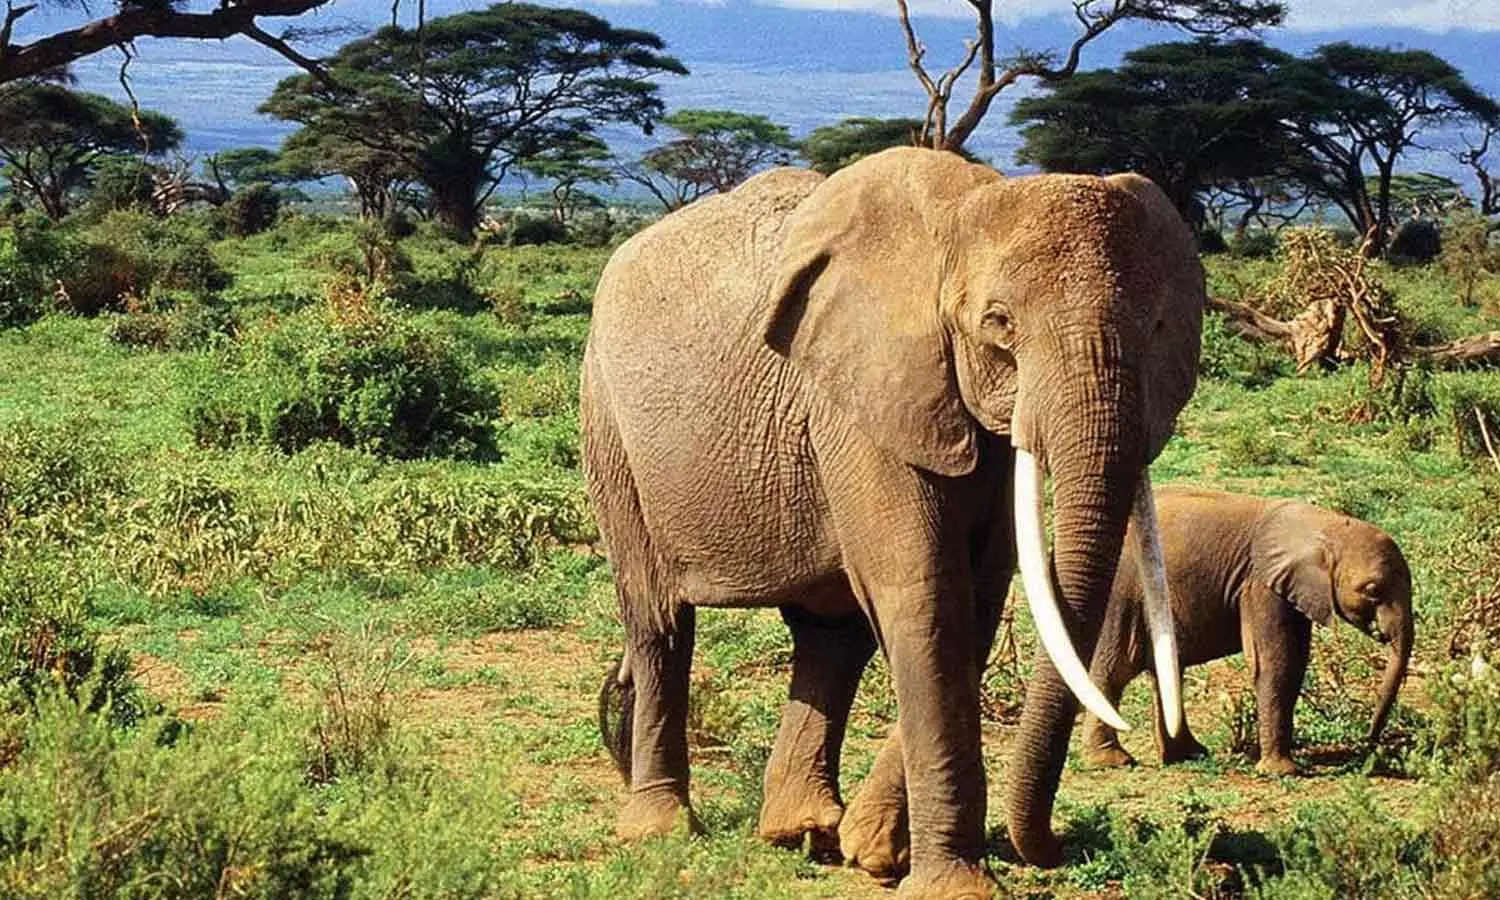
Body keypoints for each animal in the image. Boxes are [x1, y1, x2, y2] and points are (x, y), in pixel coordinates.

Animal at [582, 147, 1206, 896]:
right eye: (999, 324)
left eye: (1159, 330)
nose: (1052, 846)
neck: (963, 211)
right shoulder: (861, 390)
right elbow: (926, 590)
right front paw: (951, 884)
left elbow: (977, 596)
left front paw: (874, 849)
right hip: (608, 420)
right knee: (659, 620)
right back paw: (662, 830)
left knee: (829, 633)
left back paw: (804, 829)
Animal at [1080, 487, 1414, 776]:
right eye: (1372, 590)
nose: (1368, 743)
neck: (1323, 525)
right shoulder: (1260, 584)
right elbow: (1275, 663)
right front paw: (1281, 771)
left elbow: (1295, 662)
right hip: (1122, 594)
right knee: (1115, 668)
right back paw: (1111, 761)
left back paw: (1188, 755)